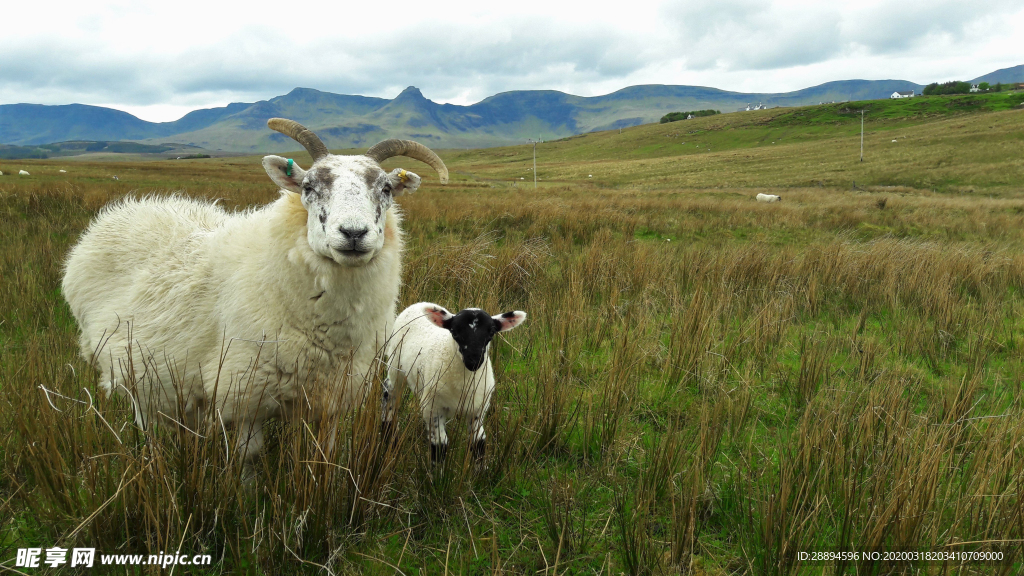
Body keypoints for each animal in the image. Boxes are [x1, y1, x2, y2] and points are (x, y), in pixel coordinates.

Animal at [60, 118, 448, 463]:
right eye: (308, 187)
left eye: (385, 189)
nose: (353, 233)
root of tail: (125, 211)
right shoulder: (244, 393)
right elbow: (251, 456)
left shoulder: (333, 396)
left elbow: (325, 453)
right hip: (131, 370)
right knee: (146, 423)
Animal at [385, 301, 528, 461]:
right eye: (454, 332)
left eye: (491, 332)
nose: (474, 361)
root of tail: (419, 303)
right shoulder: (432, 408)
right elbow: (440, 446)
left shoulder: (478, 409)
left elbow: (478, 443)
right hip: (395, 365)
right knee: (390, 394)